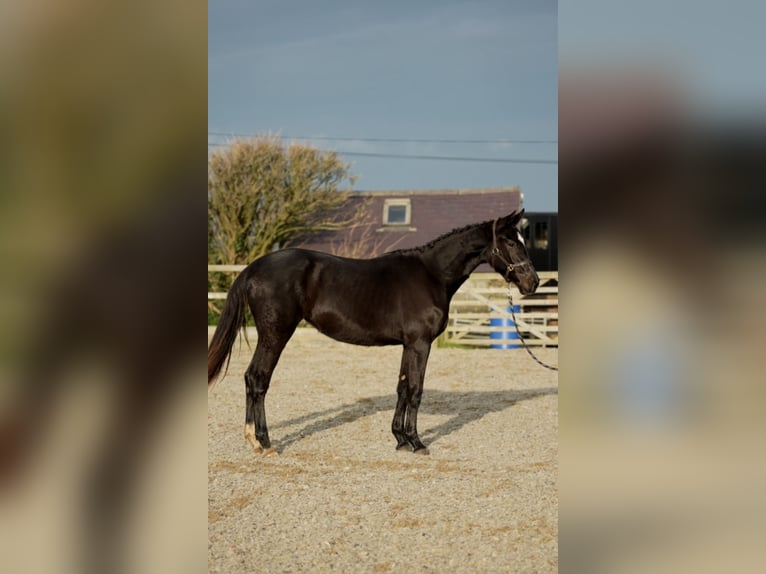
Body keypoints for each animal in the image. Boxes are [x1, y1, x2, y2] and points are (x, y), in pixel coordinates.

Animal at [207, 209, 539, 455]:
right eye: (511, 243)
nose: (532, 283)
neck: (432, 274)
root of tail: (253, 268)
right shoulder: (420, 344)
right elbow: (416, 390)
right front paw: (417, 442)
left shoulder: (408, 345)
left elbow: (402, 388)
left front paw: (400, 439)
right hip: (275, 334)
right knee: (258, 379)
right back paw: (263, 442)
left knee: (252, 378)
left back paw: (254, 440)